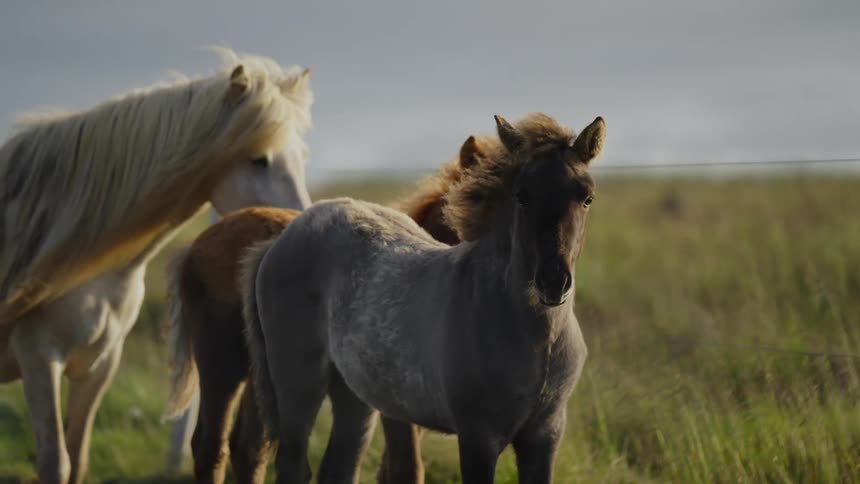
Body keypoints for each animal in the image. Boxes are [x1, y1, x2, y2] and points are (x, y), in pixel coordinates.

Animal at [0, 49, 314, 484]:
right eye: (258, 160)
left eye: (301, 158)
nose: (300, 232)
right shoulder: (40, 360)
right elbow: (55, 461)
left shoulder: (99, 366)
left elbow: (78, 459)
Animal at [242, 113, 605, 483]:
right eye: (522, 196)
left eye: (587, 198)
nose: (553, 282)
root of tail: (280, 239)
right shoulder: (478, 436)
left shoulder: (544, 436)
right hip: (299, 384)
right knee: (294, 463)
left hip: (355, 395)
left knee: (339, 465)